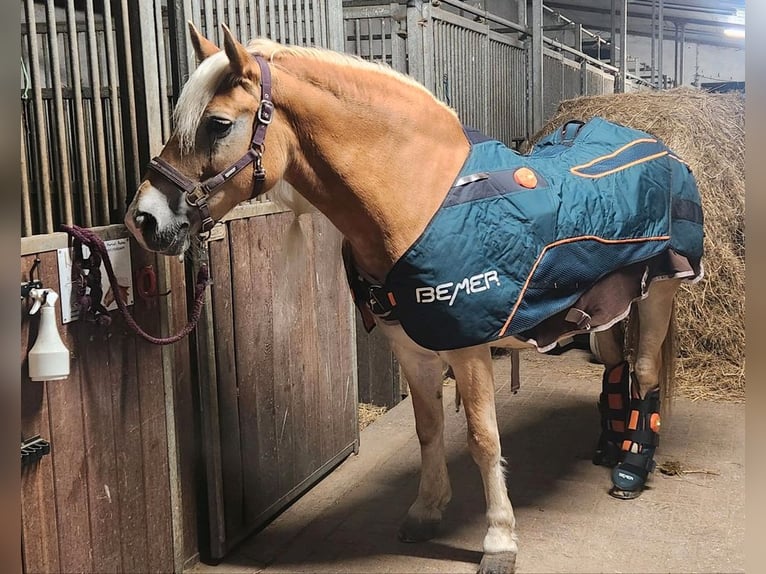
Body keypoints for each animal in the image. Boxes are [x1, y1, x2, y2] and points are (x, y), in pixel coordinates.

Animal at [124, 24, 703, 574]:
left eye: (218, 124)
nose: (144, 220)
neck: (417, 200)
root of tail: (662, 150)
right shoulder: (410, 346)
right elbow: (429, 429)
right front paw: (426, 511)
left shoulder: (469, 348)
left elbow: (483, 439)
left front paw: (499, 540)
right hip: (610, 307)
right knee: (614, 365)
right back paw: (607, 448)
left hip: (660, 292)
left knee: (645, 371)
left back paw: (631, 466)